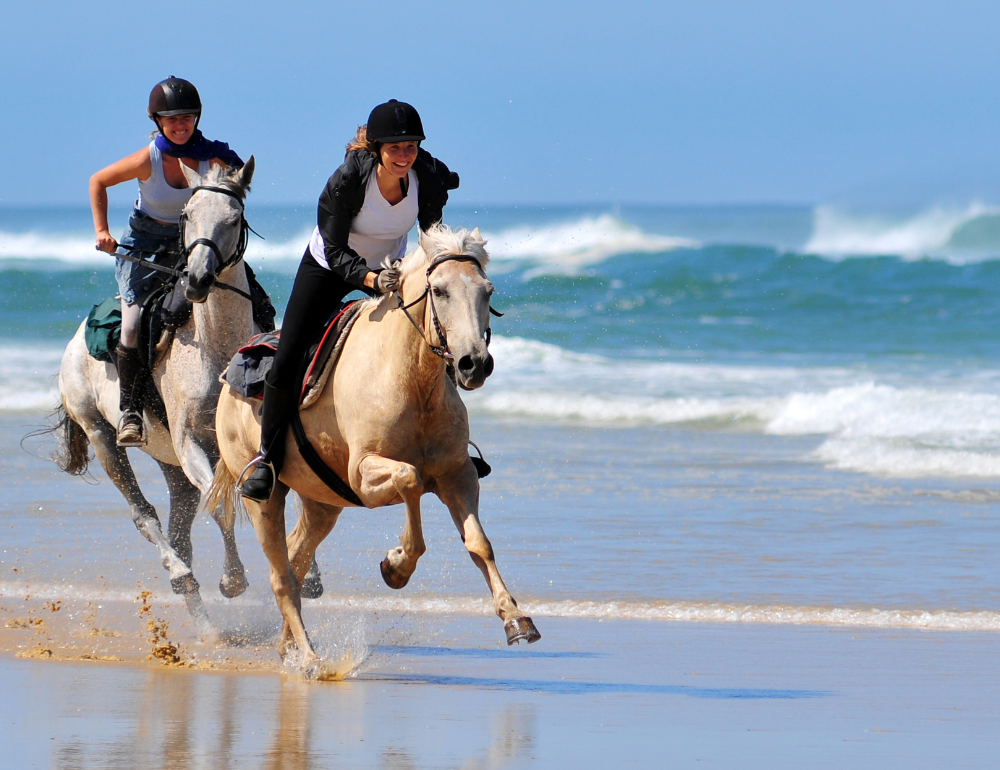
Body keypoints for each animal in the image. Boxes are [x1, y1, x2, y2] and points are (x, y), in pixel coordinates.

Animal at [54, 158, 258, 632]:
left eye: (233, 218)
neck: (217, 348)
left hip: (171, 467)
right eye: (187, 215)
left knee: (180, 530)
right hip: (103, 437)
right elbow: (221, 505)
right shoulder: (191, 445)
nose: (198, 278)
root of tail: (75, 340)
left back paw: (205, 624)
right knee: (144, 516)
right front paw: (233, 581)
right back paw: (183, 578)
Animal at [209, 224, 540, 672]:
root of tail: (230, 376)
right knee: (281, 575)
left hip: (322, 503)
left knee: (295, 559)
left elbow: (478, 543)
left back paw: (290, 647)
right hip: (264, 498)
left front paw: (516, 619)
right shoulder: (364, 475)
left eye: (487, 291)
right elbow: (410, 479)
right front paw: (396, 565)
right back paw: (310, 658)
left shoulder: (457, 474)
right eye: (440, 291)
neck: (412, 380)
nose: (474, 364)